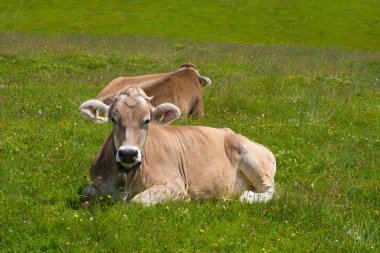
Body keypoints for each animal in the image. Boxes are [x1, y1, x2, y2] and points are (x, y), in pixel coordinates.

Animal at [80, 87, 276, 206]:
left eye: (147, 120)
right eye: (114, 119)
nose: (128, 153)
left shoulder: (174, 186)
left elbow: (137, 201)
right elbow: (86, 191)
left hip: (252, 159)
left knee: (268, 191)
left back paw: (243, 197)